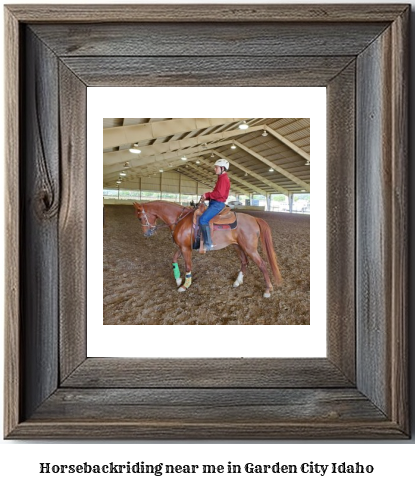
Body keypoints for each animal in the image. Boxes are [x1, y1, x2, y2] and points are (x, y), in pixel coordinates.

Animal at [133, 199, 282, 298]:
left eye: (140, 218)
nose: (146, 234)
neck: (179, 219)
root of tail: (254, 219)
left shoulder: (186, 249)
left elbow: (188, 266)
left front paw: (185, 285)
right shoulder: (182, 246)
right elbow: (174, 260)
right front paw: (178, 280)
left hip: (250, 248)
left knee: (262, 264)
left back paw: (267, 290)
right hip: (238, 246)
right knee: (244, 261)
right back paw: (237, 282)